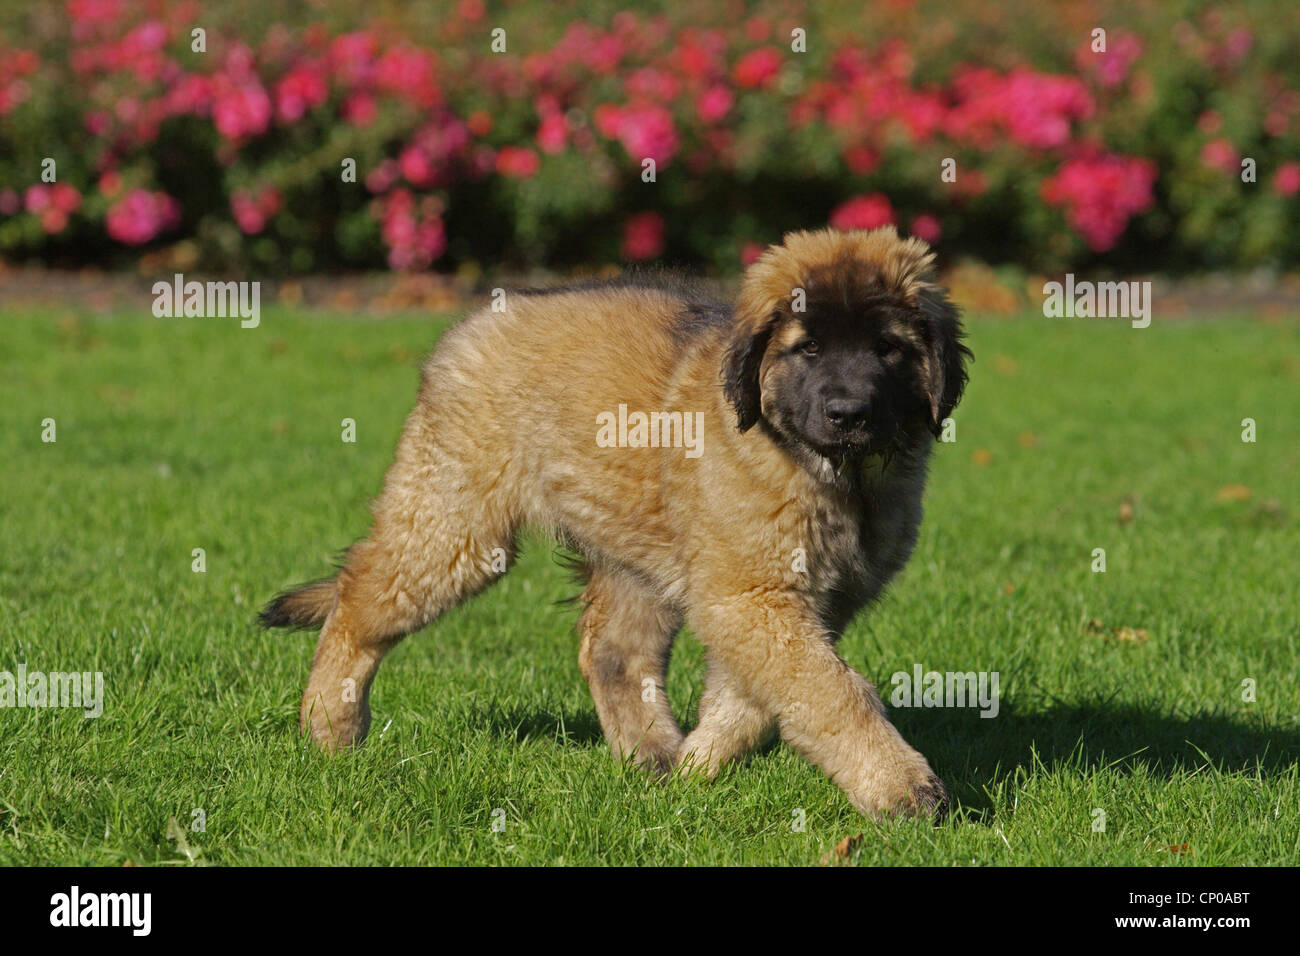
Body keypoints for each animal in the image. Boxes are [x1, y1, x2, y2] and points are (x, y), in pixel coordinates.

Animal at [261, 226, 967, 822]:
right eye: (808, 349)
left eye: (888, 349)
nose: (848, 413)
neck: (837, 478)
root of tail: (474, 323)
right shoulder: (751, 593)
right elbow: (832, 693)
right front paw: (902, 787)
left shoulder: (786, 600)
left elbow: (759, 699)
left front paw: (697, 769)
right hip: (457, 523)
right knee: (358, 598)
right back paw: (329, 729)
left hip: (634, 544)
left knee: (612, 653)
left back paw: (653, 758)